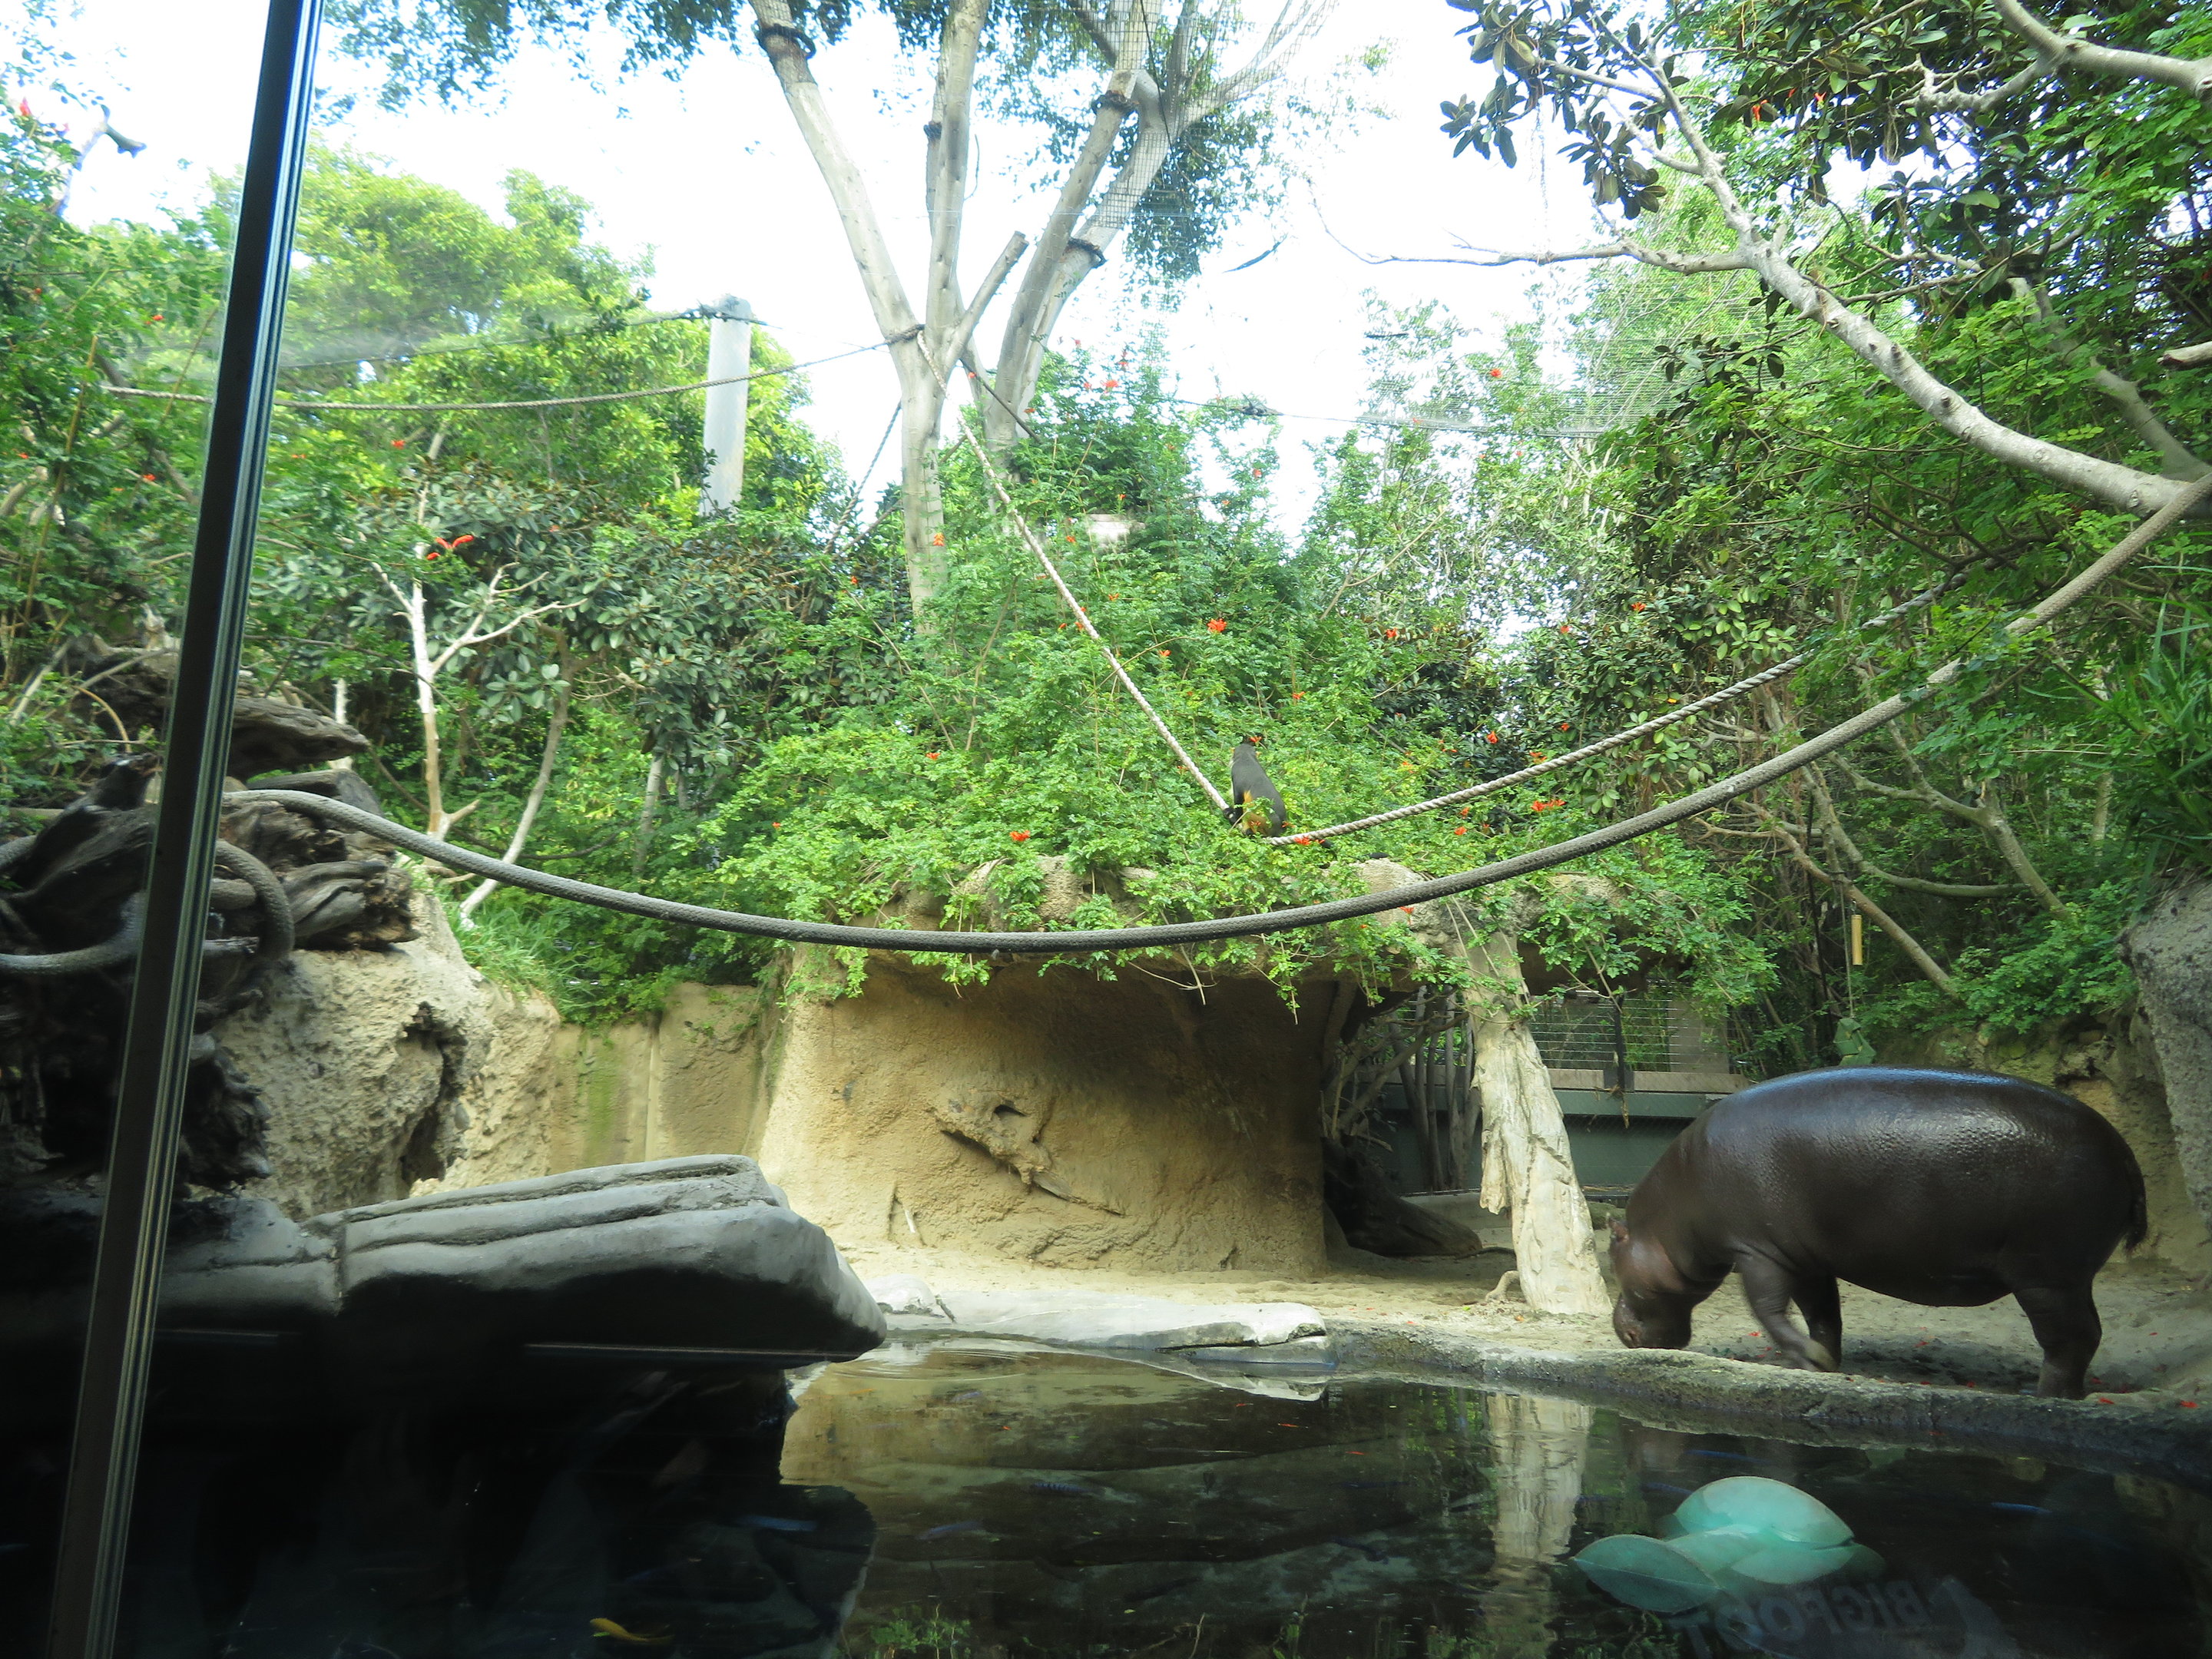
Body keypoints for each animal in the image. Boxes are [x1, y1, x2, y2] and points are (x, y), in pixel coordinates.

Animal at [1608, 1067, 2146, 1398]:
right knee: (2083, 1334)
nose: (1619, 1328)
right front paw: (1825, 1360)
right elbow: (1822, 1312)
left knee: (2071, 1338)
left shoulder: (1757, 1249)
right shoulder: (1804, 1255)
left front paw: (1804, 1359)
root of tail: (2124, 1150)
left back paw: (2043, 1395)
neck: (1667, 1218)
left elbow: (1768, 1306)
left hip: (2046, 1275)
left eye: (1615, 1248)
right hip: (2065, 1276)